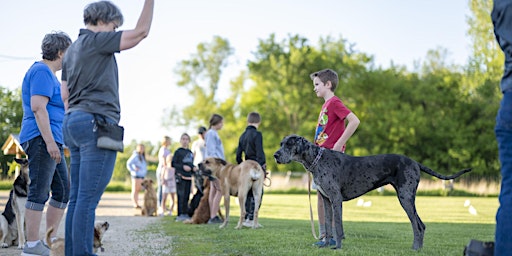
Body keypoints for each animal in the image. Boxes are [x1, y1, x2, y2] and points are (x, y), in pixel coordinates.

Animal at [274, 136, 470, 250]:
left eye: (289, 144)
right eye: (281, 144)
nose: (276, 155)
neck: (317, 160)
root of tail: (415, 162)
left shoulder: (336, 199)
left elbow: (338, 226)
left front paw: (337, 247)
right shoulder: (326, 200)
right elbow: (329, 225)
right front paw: (326, 245)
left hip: (405, 197)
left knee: (417, 225)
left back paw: (415, 248)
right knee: (421, 224)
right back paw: (418, 248)